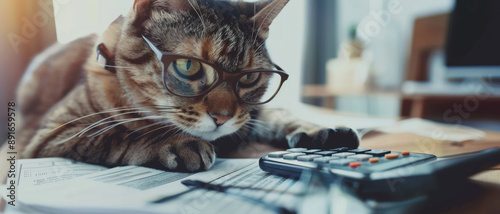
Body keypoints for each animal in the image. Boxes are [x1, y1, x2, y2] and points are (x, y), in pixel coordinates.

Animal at [16, 0, 360, 171]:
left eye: (249, 77)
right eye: (188, 66)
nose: (222, 117)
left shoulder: (251, 114)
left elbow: (276, 114)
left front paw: (319, 129)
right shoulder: (52, 133)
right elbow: (117, 135)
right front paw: (176, 143)